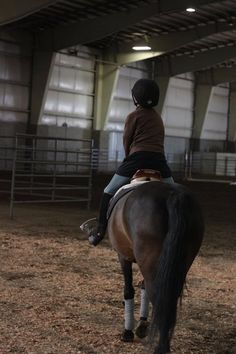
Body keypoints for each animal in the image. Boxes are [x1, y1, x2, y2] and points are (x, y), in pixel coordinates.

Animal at [108, 181, 204, 352]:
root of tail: (174, 195)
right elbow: (143, 287)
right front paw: (142, 326)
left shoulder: (123, 256)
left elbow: (129, 290)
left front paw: (128, 332)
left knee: (160, 300)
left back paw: (161, 348)